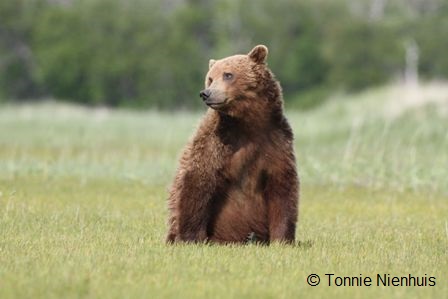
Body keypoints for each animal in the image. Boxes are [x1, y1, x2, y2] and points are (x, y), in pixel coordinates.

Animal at [166, 44, 300, 245]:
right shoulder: (217, 142)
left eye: (228, 74)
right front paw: (192, 238)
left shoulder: (276, 140)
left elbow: (281, 187)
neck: (247, 124)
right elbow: (198, 180)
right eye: (210, 78)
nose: (206, 93)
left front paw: (282, 239)